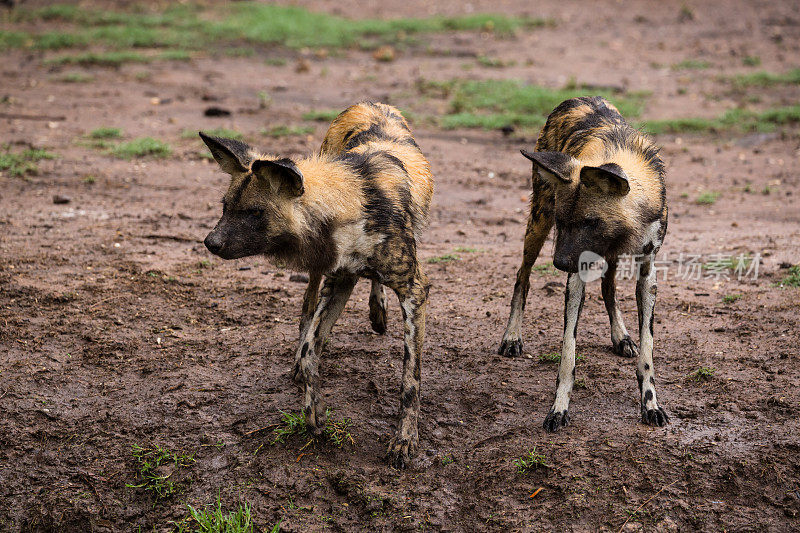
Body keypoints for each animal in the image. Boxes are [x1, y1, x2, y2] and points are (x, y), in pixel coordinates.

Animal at [203, 102, 434, 468]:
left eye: (254, 213)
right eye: (225, 208)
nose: (210, 243)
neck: (353, 204)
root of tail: (368, 103)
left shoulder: (413, 290)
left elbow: (410, 380)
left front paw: (405, 439)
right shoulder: (338, 279)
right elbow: (311, 350)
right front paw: (313, 411)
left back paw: (377, 309)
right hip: (318, 273)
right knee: (307, 313)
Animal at [496, 96, 672, 432]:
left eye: (590, 222)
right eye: (563, 222)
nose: (559, 262)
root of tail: (576, 99)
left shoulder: (647, 273)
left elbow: (647, 353)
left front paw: (651, 404)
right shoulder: (575, 273)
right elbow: (568, 353)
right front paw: (559, 408)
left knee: (608, 287)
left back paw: (620, 336)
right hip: (538, 224)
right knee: (522, 276)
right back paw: (512, 337)